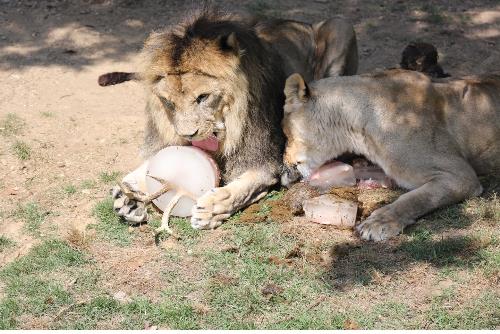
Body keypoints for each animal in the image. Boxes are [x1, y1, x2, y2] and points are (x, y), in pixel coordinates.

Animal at [110, 11, 360, 230]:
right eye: (168, 102)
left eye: (203, 97)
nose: (188, 136)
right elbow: (146, 167)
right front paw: (128, 195)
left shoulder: (264, 161)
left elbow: (241, 189)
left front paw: (212, 210)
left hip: (341, 26)